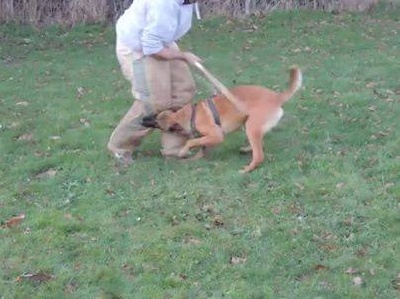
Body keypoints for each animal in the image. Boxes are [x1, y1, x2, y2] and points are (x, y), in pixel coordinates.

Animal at [141, 65, 300, 173]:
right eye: (155, 114)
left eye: (156, 122)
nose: (142, 120)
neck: (189, 114)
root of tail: (277, 97)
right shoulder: (208, 137)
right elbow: (201, 147)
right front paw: (192, 159)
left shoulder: (216, 135)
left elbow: (191, 141)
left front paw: (183, 151)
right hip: (248, 124)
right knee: (259, 143)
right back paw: (247, 148)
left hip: (251, 126)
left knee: (259, 155)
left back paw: (247, 169)